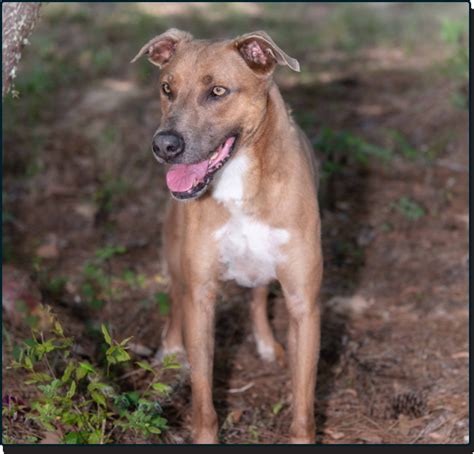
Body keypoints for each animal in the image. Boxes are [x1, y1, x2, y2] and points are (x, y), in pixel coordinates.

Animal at [133, 28, 322, 444]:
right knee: (175, 296)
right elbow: (203, 394)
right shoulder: (201, 294)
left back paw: (265, 343)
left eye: (217, 91)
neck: (240, 178)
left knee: (257, 295)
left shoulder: (304, 302)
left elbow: (303, 403)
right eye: (167, 88)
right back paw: (171, 348)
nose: (164, 146)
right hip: (175, 254)